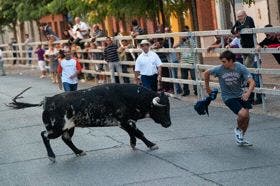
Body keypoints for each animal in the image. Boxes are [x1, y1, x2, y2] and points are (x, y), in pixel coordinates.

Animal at [8, 83, 171, 162]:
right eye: (163, 109)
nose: (169, 124)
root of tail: (47, 101)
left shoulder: (125, 122)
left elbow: (134, 133)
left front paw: (133, 144)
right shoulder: (123, 121)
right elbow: (139, 133)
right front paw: (152, 145)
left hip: (69, 127)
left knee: (66, 139)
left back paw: (79, 152)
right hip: (55, 128)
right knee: (44, 135)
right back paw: (52, 156)